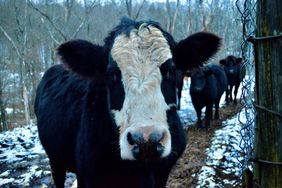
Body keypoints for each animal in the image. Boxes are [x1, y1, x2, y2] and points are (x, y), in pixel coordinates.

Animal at [34, 16, 221, 187]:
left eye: (171, 70)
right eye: (112, 74)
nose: (146, 140)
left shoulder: (162, 173)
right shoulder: (88, 176)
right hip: (55, 160)